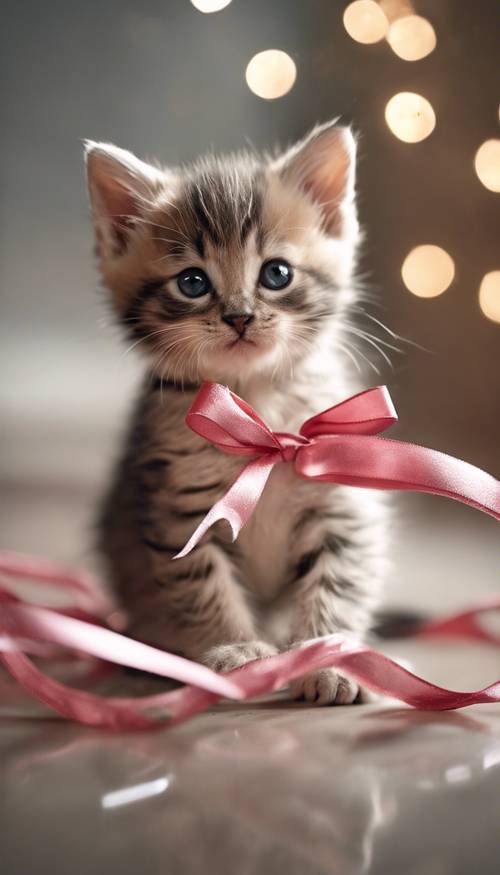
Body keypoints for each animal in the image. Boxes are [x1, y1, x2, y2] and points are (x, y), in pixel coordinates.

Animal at [85, 121, 386, 704]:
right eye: (192, 282)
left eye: (277, 273)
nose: (240, 316)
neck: (257, 409)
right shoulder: (180, 509)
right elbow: (203, 584)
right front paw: (237, 650)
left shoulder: (339, 502)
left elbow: (338, 578)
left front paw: (329, 660)